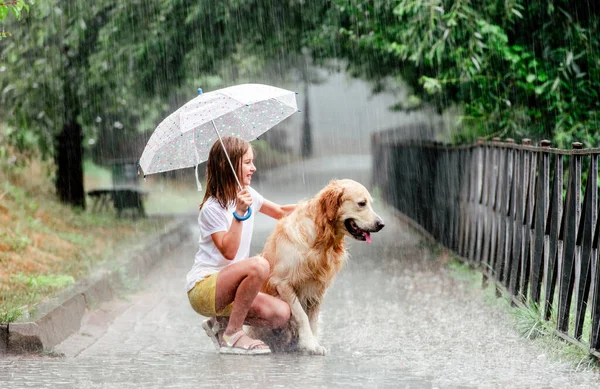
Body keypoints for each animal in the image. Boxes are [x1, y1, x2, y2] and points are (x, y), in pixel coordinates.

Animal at [248, 177, 384, 354]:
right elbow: (301, 315)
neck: (320, 241)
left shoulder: (318, 289)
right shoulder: (282, 282)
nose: (381, 224)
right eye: (362, 203)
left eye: (370, 203)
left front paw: (312, 343)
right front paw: (309, 343)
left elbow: (312, 319)